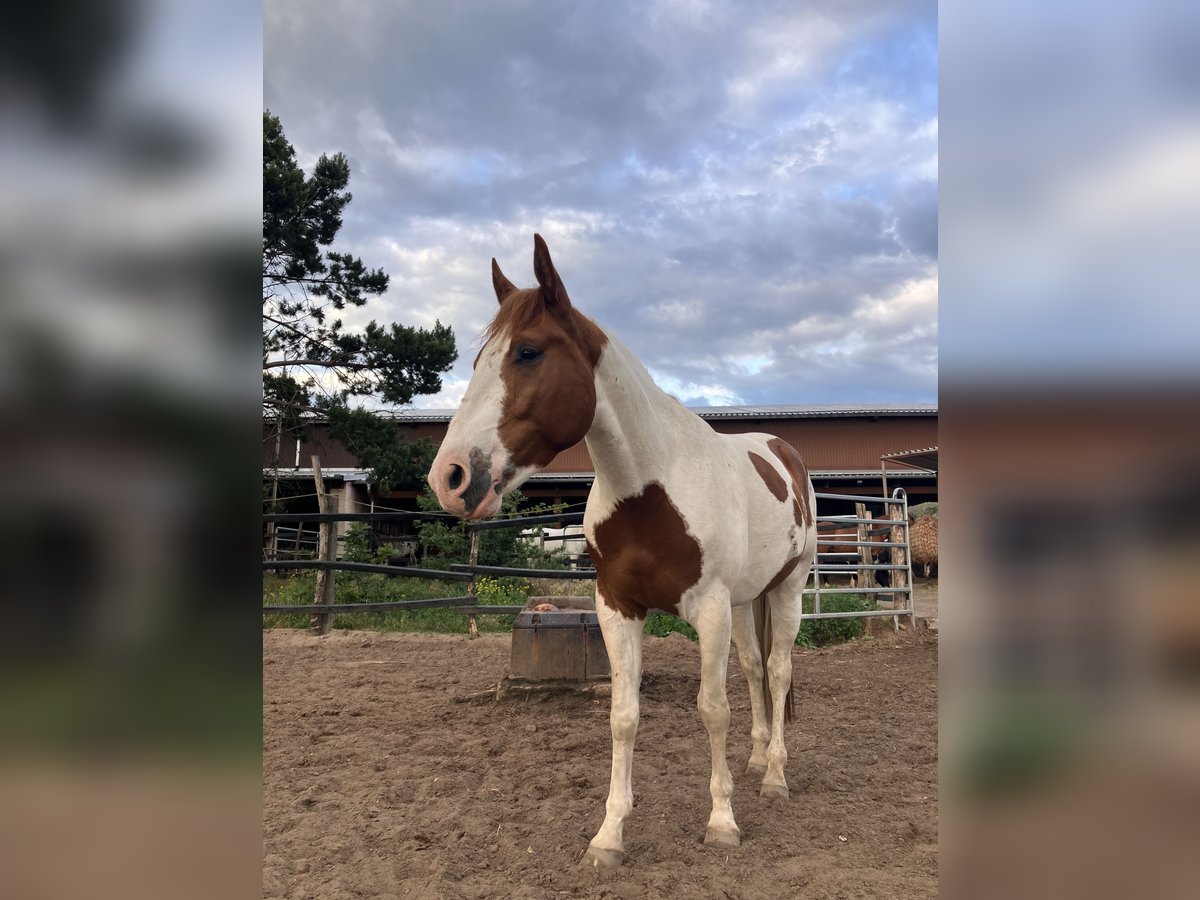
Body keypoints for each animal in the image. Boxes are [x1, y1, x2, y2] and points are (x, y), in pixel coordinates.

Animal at [427, 236, 820, 868]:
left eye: (528, 353)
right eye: (478, 360)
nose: (451, 477)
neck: (651, 486)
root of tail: (784, 452)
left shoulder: (709, 611)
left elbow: (713, 709)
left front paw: (722, 822)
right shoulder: (617, 607)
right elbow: (623, 716)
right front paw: (609, 835)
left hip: (787, 588)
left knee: (779, 672)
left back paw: (775, 776)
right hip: (746, 601)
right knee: (756, 668)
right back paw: (759, 757)